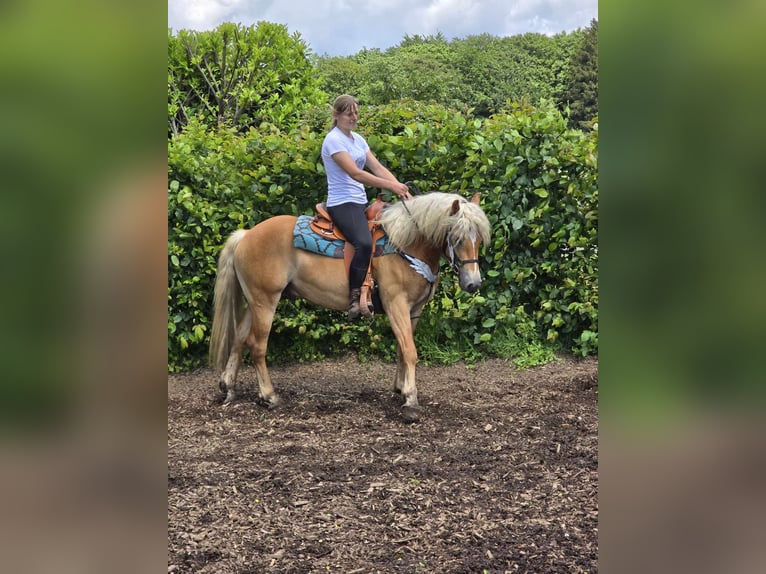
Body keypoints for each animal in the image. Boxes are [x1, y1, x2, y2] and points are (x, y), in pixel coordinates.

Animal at [208, 194, 492, 424]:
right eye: (457, 238)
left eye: (479, 240)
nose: (473, 283)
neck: (406, 245)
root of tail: (246, 235)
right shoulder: (396, 304)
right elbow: (410, 351)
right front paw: (411, 400)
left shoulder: (414, 309)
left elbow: (402, 349)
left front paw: (400, 389)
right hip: (266, 301)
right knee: (257, 345)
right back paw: (269, 396)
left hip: (253, 301)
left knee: (239, 338)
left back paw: (228, 386)